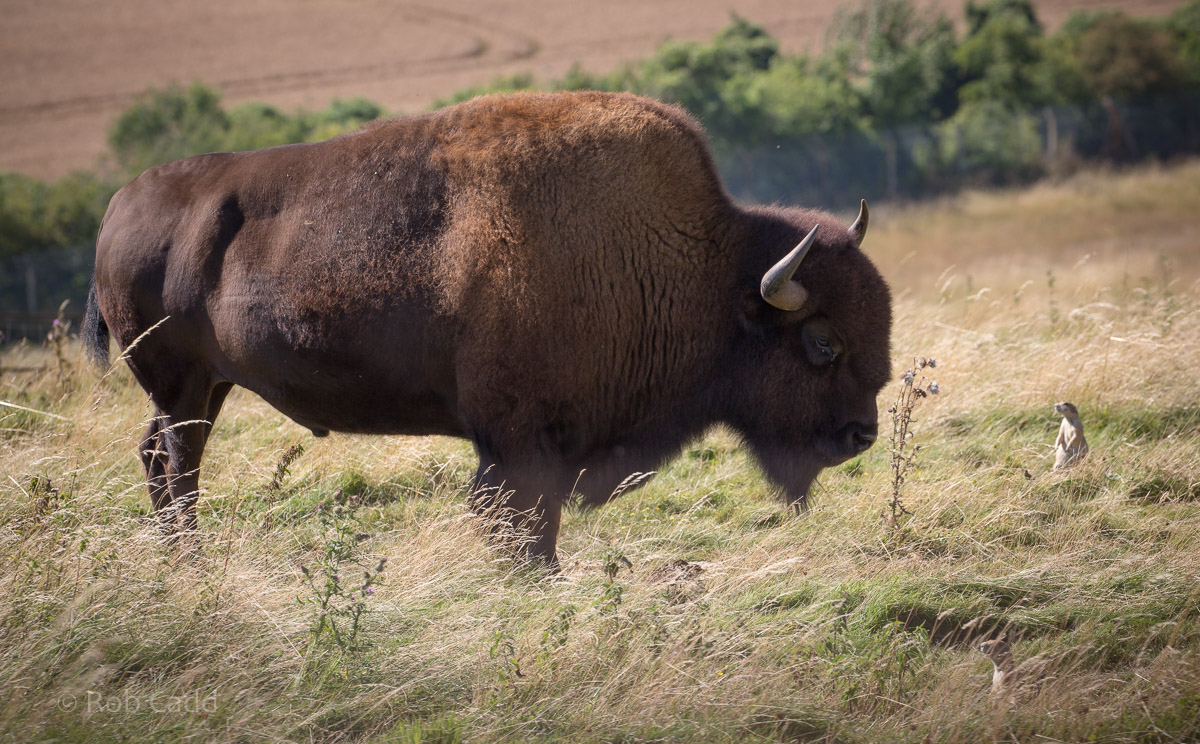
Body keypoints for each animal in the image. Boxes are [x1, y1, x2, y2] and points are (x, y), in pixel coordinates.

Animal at [84, 91, 892, 566]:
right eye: (823, 342)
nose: (862, 434)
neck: (702, 268)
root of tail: (119, 204)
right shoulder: (520, 444)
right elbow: (522, 526)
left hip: (205, 387)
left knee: (165, 460)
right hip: (181, 386)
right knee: (174, 466)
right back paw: (186, 560)